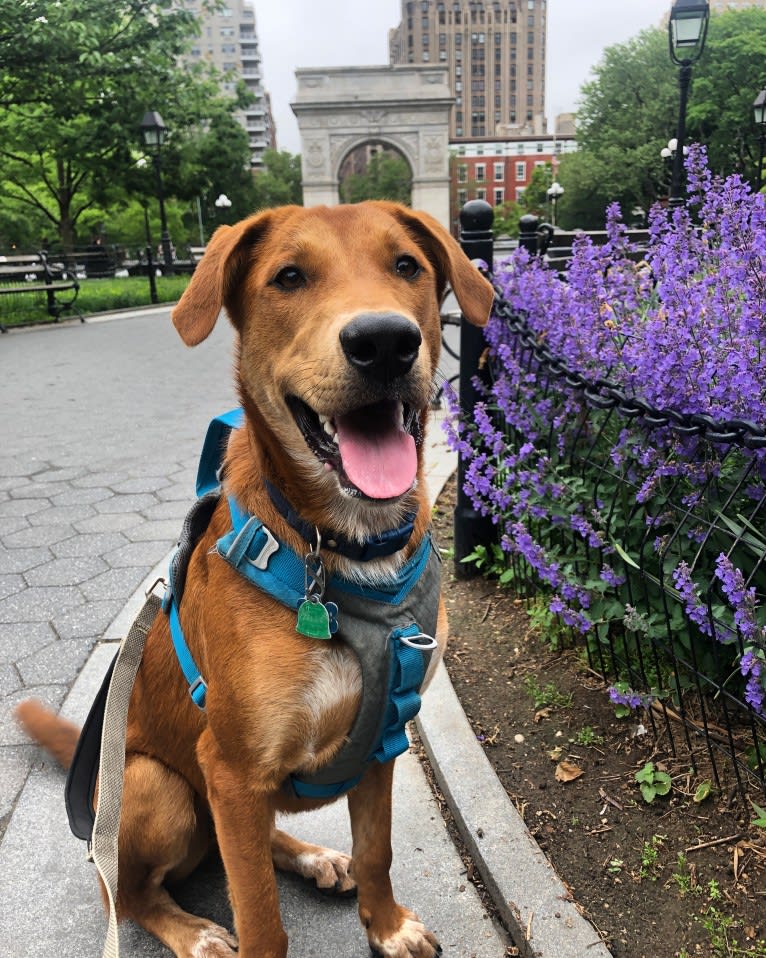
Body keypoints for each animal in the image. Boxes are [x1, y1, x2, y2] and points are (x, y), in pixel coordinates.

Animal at [19, 202, 498, 958]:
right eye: (289, 277)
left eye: (407, 266)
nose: (385, 342)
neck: (345, 549)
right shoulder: (231, 771)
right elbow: (260, 915)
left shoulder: (384, 741)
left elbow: (377, 850)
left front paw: (386, 924)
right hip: (155, 787)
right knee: (129, 893)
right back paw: (193, 932)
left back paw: (313, 856)